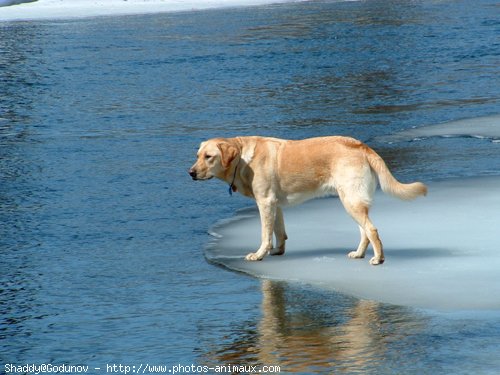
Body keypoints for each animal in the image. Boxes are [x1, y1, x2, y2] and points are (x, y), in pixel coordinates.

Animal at [188, 137, 426, 266]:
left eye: (209, 157)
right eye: (198, 155)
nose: (190, 173)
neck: (242, 159)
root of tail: (361, 146)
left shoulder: (265, 202)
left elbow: (265, 234)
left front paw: (259, 254)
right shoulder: (275, 204)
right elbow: (279, 231)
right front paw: (278, 251)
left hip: (350, 199)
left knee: (372, 230)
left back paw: (378, 258)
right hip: (354, 201)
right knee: (364, 231)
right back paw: (359, 253)